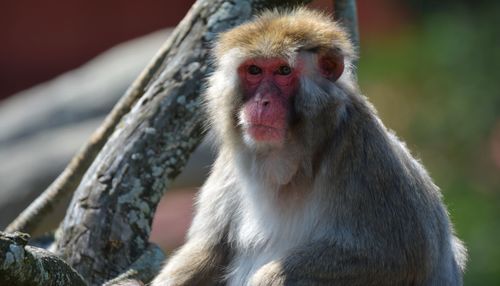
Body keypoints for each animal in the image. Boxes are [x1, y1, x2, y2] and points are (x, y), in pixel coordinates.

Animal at [150, 7, 466, 284]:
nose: (262, 102)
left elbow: (401, 256)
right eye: (254, 70)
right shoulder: (231, 161)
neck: (293, 158)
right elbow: (211, 249)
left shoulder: (367, 154)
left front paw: (268, 279)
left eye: (283, 71)